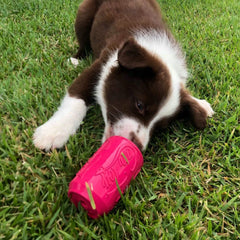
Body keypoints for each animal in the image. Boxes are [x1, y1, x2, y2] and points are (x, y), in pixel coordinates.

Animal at [33, 0, 214, 151]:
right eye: (139, 105)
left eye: (160, 126)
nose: (137, 146)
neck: (157, 53)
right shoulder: (102, 63)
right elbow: (76, 96)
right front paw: (52, 133)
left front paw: (200, 104)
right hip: (84, 13)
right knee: (83, 41)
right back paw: (76, 59)